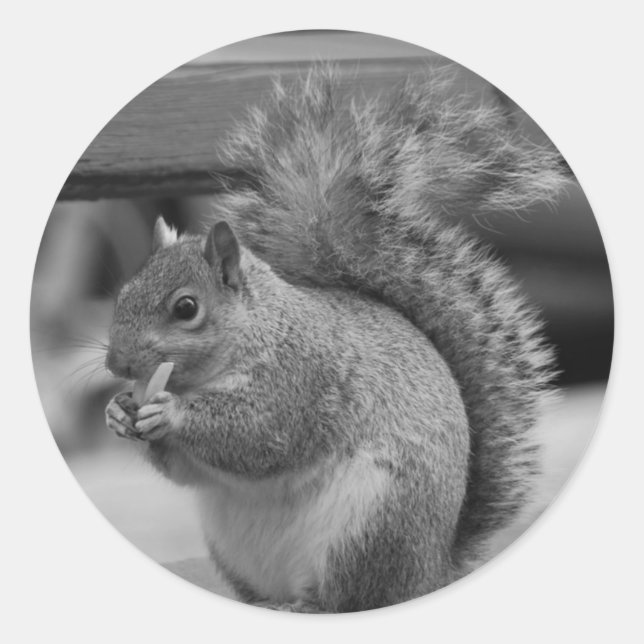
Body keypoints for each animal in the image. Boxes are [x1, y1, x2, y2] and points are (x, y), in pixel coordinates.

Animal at [105, 65, 568, 612]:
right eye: (123, 293)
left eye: (186, 308)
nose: (116, 365)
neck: (260, 330)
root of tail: (432, 571)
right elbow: (188, 470)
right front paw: (118, 411)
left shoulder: (302, 379)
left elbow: (259, 434)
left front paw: (169, 411)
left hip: (371, 524)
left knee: (350, 599)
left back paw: (307, 604)